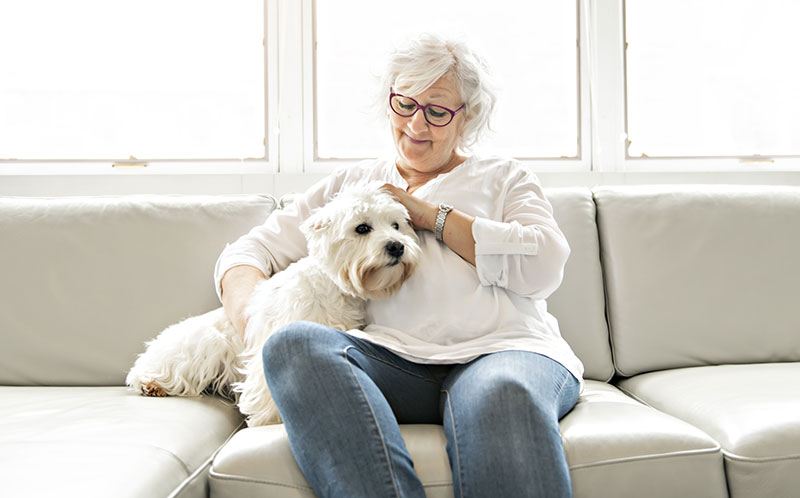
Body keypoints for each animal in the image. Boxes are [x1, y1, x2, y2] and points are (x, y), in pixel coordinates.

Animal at [125, 185, 422, 426]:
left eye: (396, 225)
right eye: (362, 228)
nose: (397, 247)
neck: (333, 286)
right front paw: (269, 419)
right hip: (204, 345)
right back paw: (151, 383)